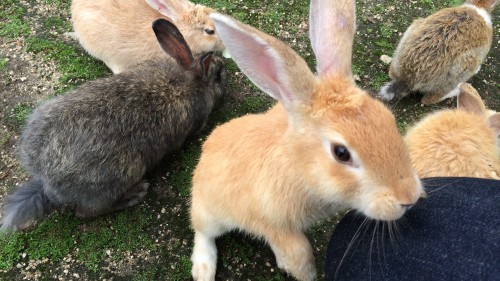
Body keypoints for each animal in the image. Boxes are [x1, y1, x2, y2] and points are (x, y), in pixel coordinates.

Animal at [0, 18, 226, 231]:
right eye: (218, 75)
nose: (224, 70)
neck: (188, 79)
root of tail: (45, 178)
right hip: (123, 172)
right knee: (87, 211)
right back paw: (135, 194)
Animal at [189, 1, 424, 278]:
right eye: (341, 153)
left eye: (388, 118)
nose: (409, 197)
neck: (298, 166)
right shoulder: (273, 225)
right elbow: (298, 256)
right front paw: (305, 273)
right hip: (211, 212)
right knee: (202, 231)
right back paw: (203, 270)